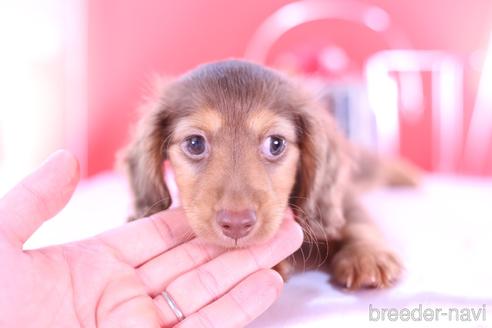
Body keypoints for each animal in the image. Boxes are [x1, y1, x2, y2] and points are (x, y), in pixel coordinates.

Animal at [122, 59, 408, 290]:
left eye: (276, 144)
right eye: (195, 143)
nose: (237, 223)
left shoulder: (343, 199)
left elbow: (358, 220)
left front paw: (367, 255)